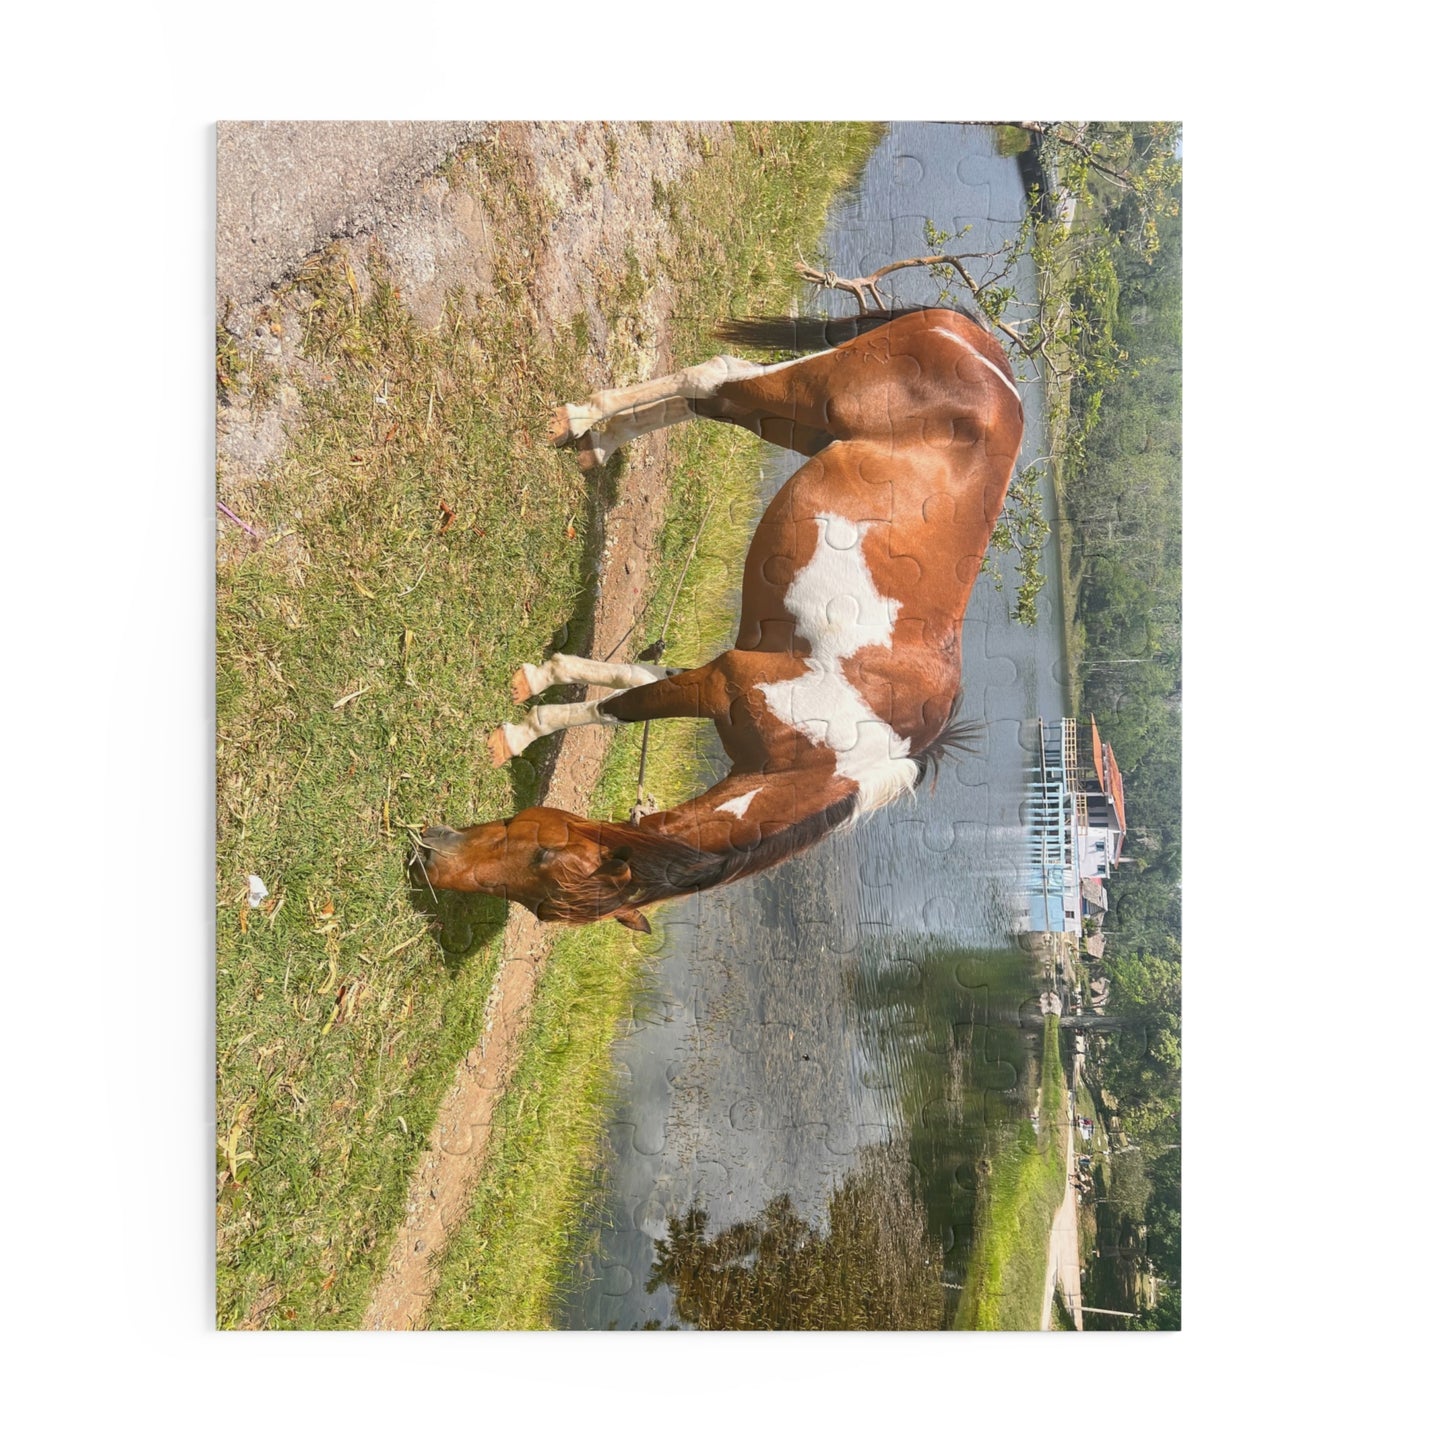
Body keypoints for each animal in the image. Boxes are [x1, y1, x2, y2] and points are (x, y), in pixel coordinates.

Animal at [415, 305, 1026, 932]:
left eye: (543, 882)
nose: (430, 860)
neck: (832, 755)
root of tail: (981, 348)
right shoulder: (721, 682)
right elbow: (620, 707)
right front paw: (520, 729)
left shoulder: (721, 673)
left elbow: (628, 688)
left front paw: (542, 684)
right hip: (804, 395)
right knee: (713, 377)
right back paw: (582, 418)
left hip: (789, 422)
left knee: (707, 399)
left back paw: (600, 442)